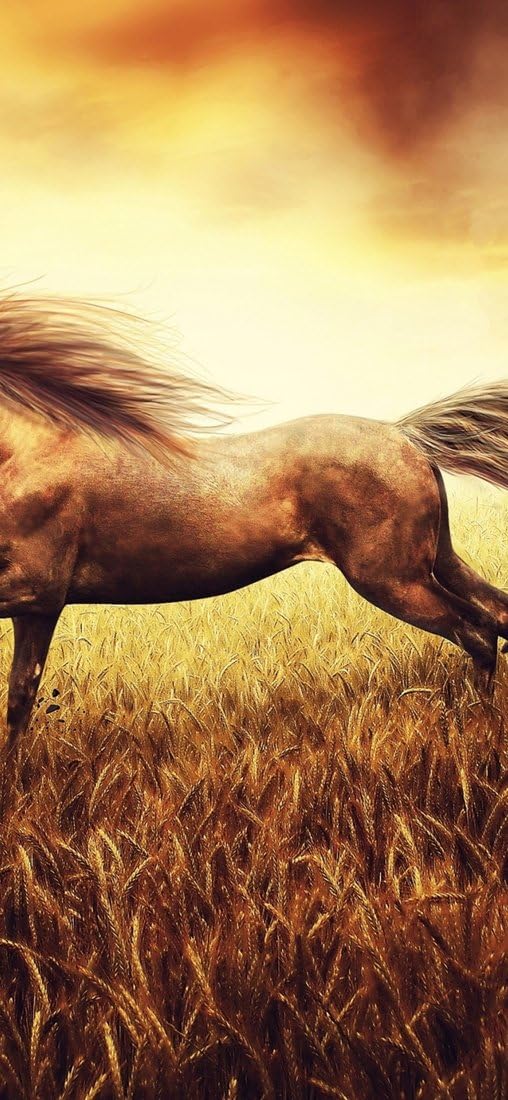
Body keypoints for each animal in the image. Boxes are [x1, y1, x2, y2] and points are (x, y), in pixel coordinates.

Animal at [0, 292, 507, 774]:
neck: (31, 456)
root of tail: (404, 435)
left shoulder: (37, 587)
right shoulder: (40, 608)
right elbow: (21, 695)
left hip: (393, 579)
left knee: (477, 632)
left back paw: (471, 731)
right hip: (435, 563)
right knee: (495, 615)